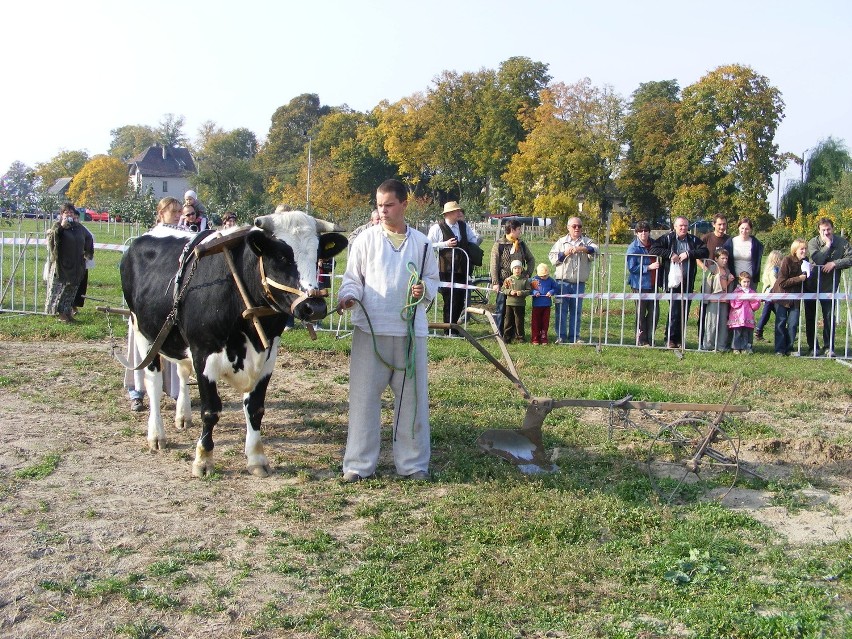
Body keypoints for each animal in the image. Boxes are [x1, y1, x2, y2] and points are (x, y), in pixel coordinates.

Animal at [120, 212, 346, 478]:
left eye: (319, 256)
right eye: (282, 256)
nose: (315, 307)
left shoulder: (267, 355)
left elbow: (255, 408)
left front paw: (256, 458)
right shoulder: (203, 352)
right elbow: (211, 411)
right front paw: (203, 459)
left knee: (182, 371)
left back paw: (183, 416)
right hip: (142, 331)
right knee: (153, 382)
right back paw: (156, 435)